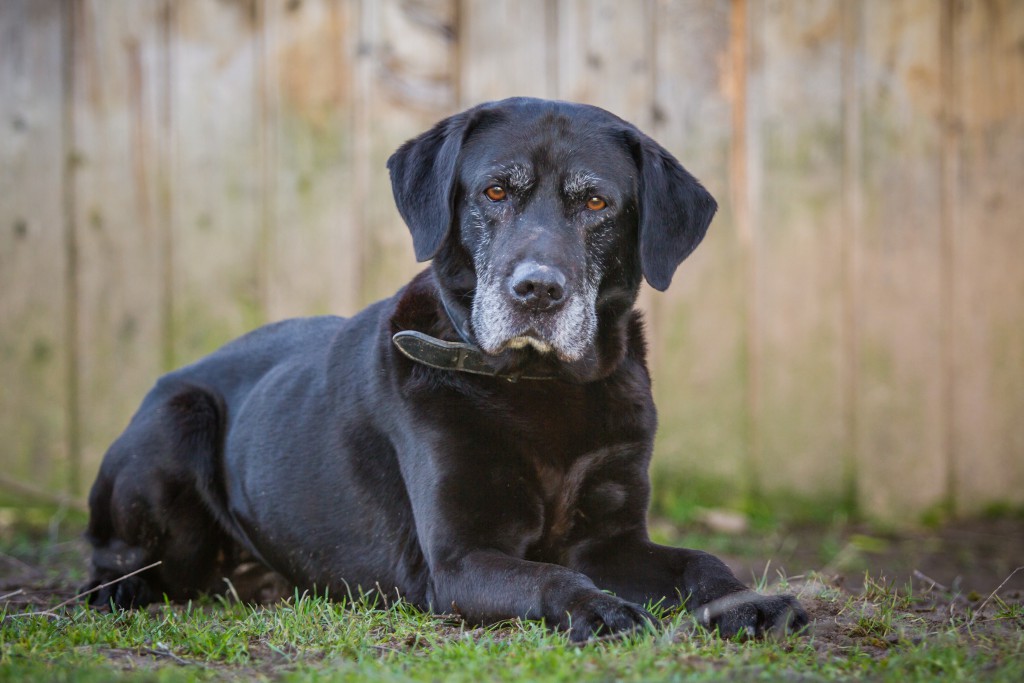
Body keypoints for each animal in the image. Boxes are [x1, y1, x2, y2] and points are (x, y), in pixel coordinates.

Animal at [86, 98, 806, 643]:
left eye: (597, 204)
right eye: (495, 190)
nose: (537, 291)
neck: (541, 387)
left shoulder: (611, 541)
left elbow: (700, 560)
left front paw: (750, 602)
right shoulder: (458, 561)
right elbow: (551, 576)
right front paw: (600, 608)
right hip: (177, 423)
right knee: (113, 562)